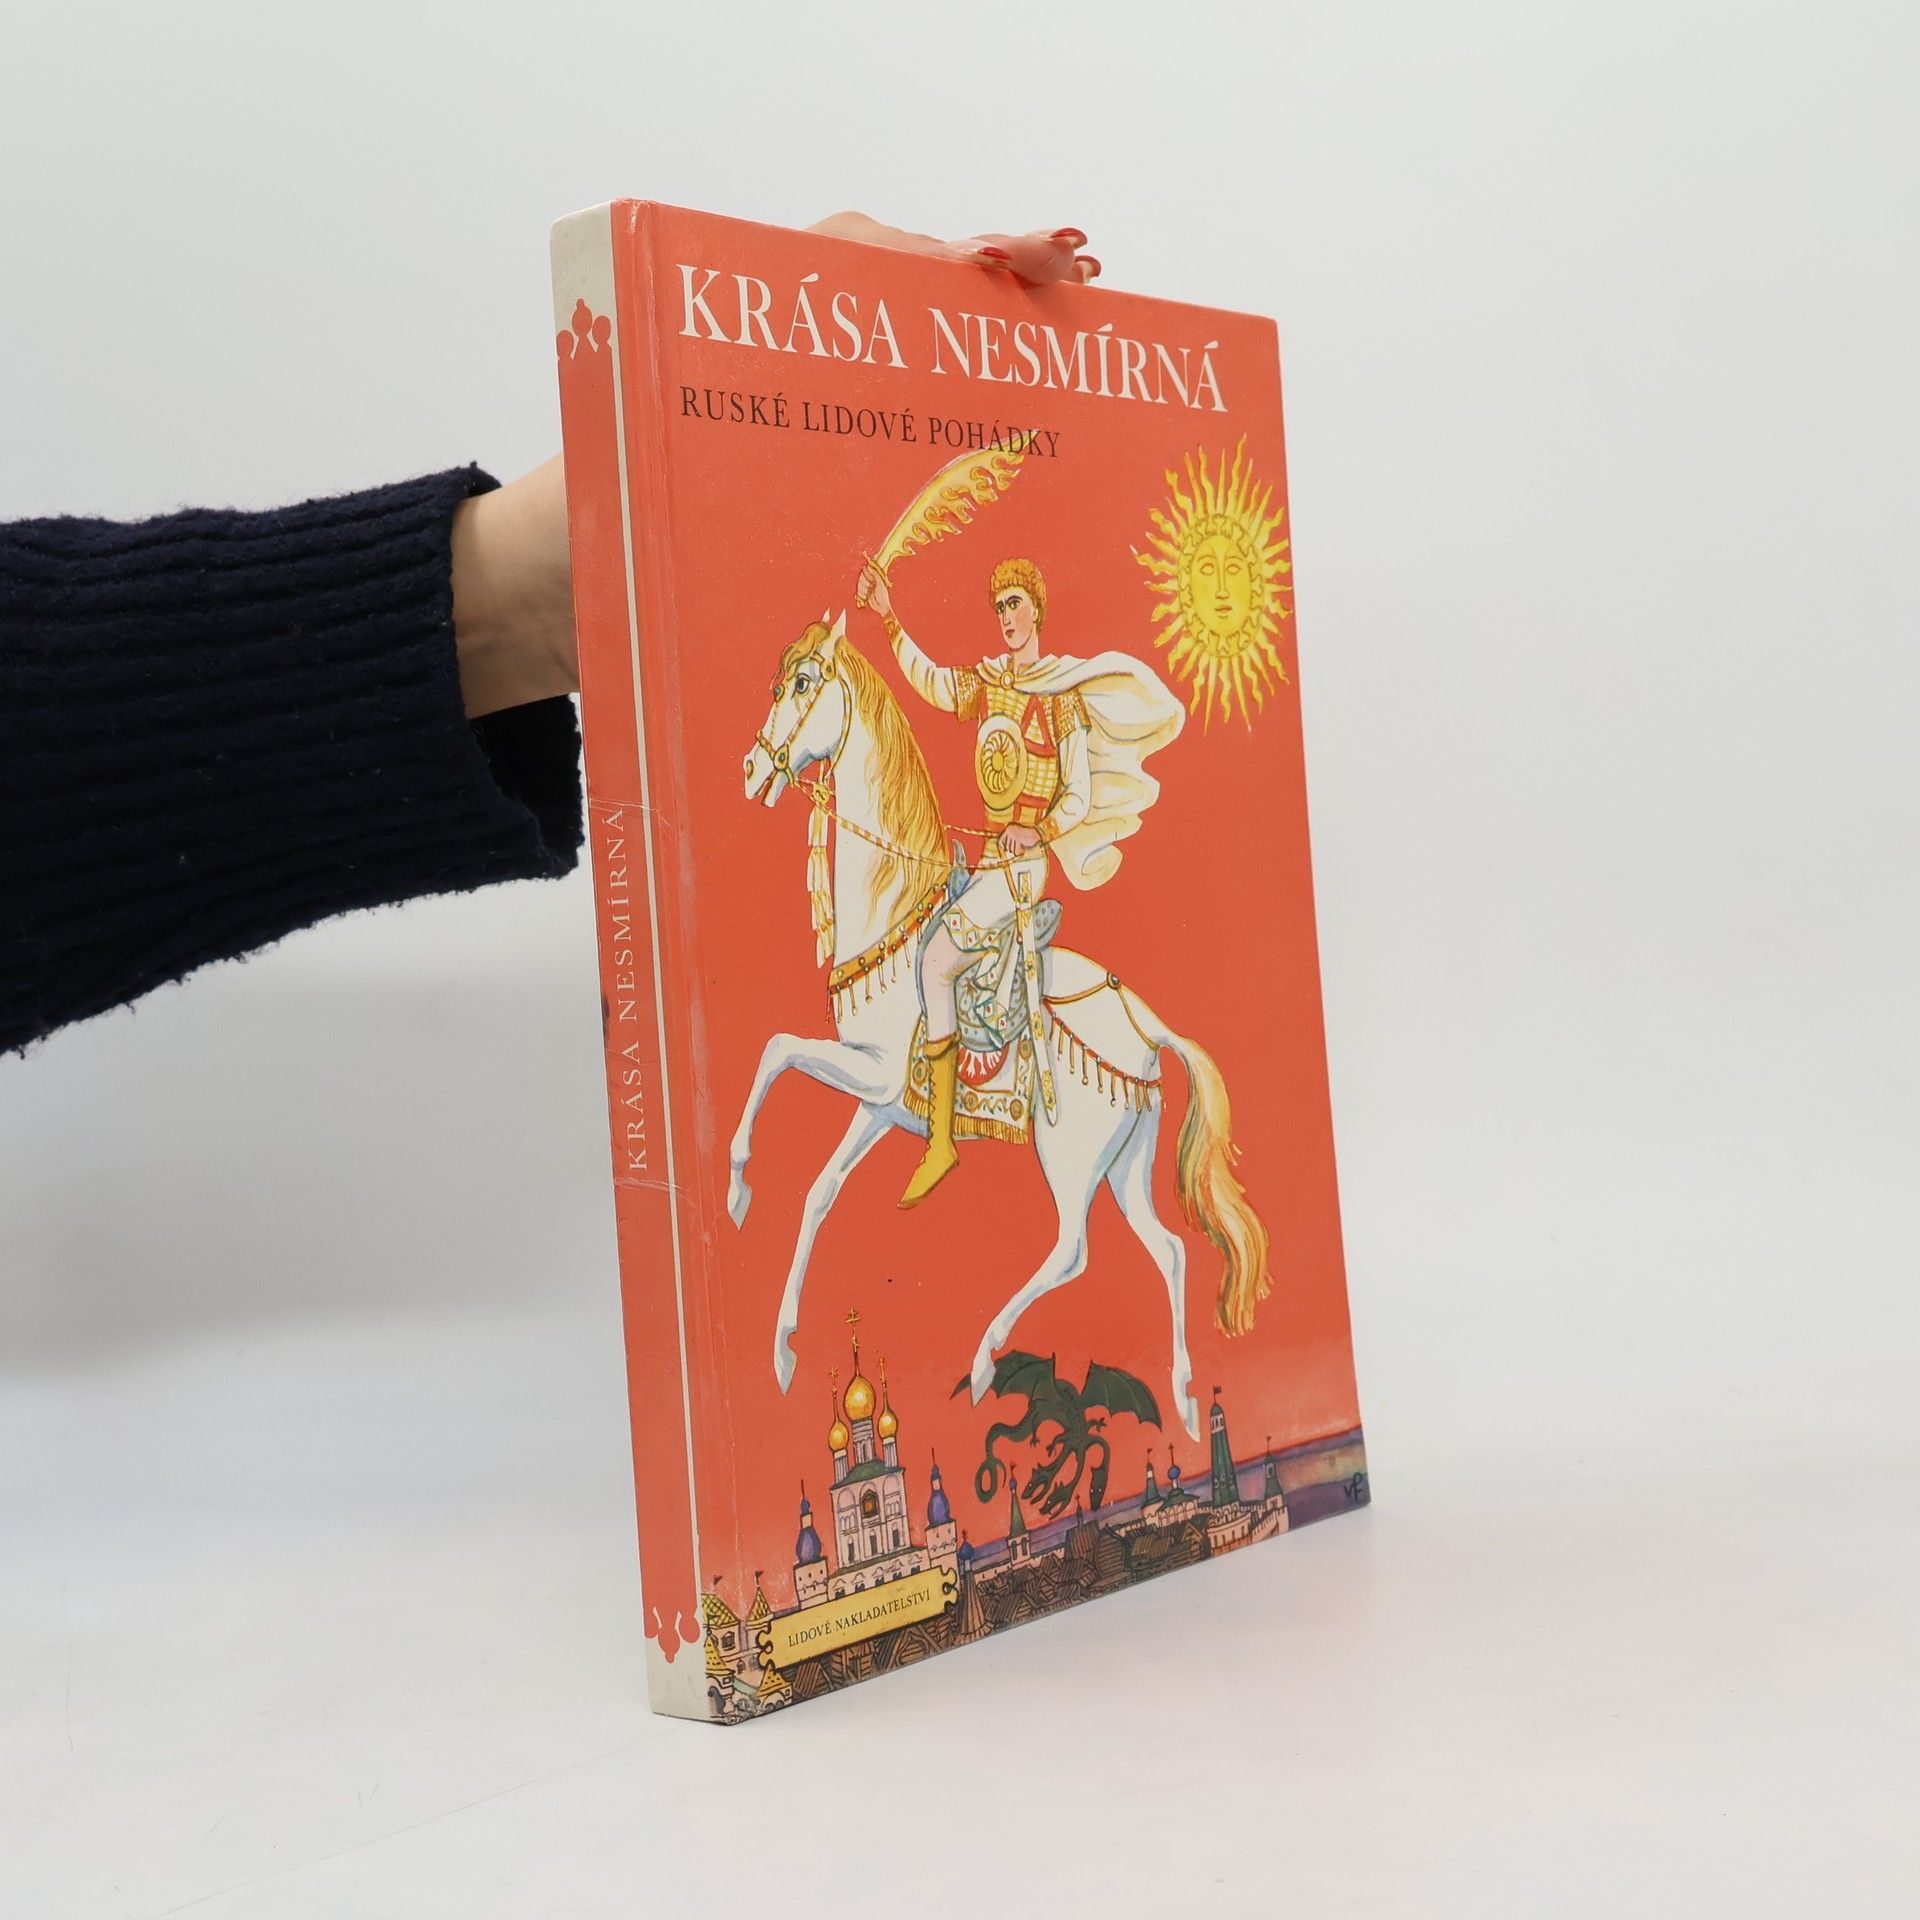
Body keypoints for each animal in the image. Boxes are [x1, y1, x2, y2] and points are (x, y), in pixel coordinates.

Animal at [731, 612, 1272, 1440]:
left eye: (801, 683)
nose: (753, 768)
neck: (896, 908)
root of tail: (1142, 1021)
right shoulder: (881, 1104)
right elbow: (819, 1191)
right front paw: (785, 1348)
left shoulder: (873, 1070)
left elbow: (775, 1048)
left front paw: (734, 1186)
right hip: (1125, 1162)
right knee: (1173, 1251)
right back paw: (1183, 1394)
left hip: (1069, 1153)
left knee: (1073, 1250)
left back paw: (985, 1360)